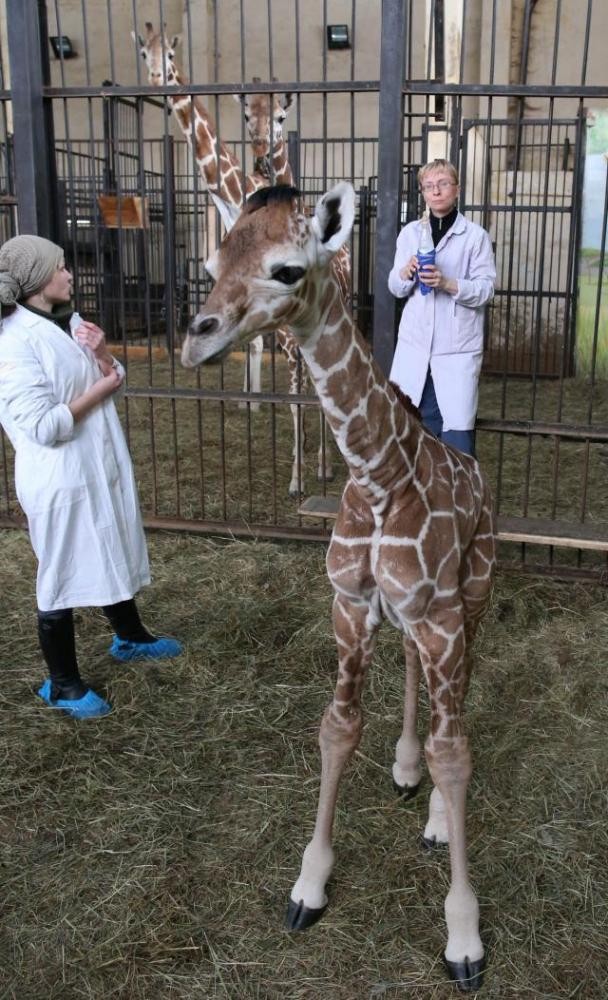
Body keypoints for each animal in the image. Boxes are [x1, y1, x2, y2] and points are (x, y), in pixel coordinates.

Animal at [180, 184, 494, 988]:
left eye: (287, 270)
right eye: (212, 266)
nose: (196, 339)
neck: (379, 477)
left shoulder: (441, 615)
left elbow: (456, 754)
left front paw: (463, 938)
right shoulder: (352, 606)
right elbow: (338, 728)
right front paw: (309, 885)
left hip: (471, 596)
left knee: (457, 706)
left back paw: (436, 816)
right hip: (413, 616)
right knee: (417, 679)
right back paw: (406, 768)